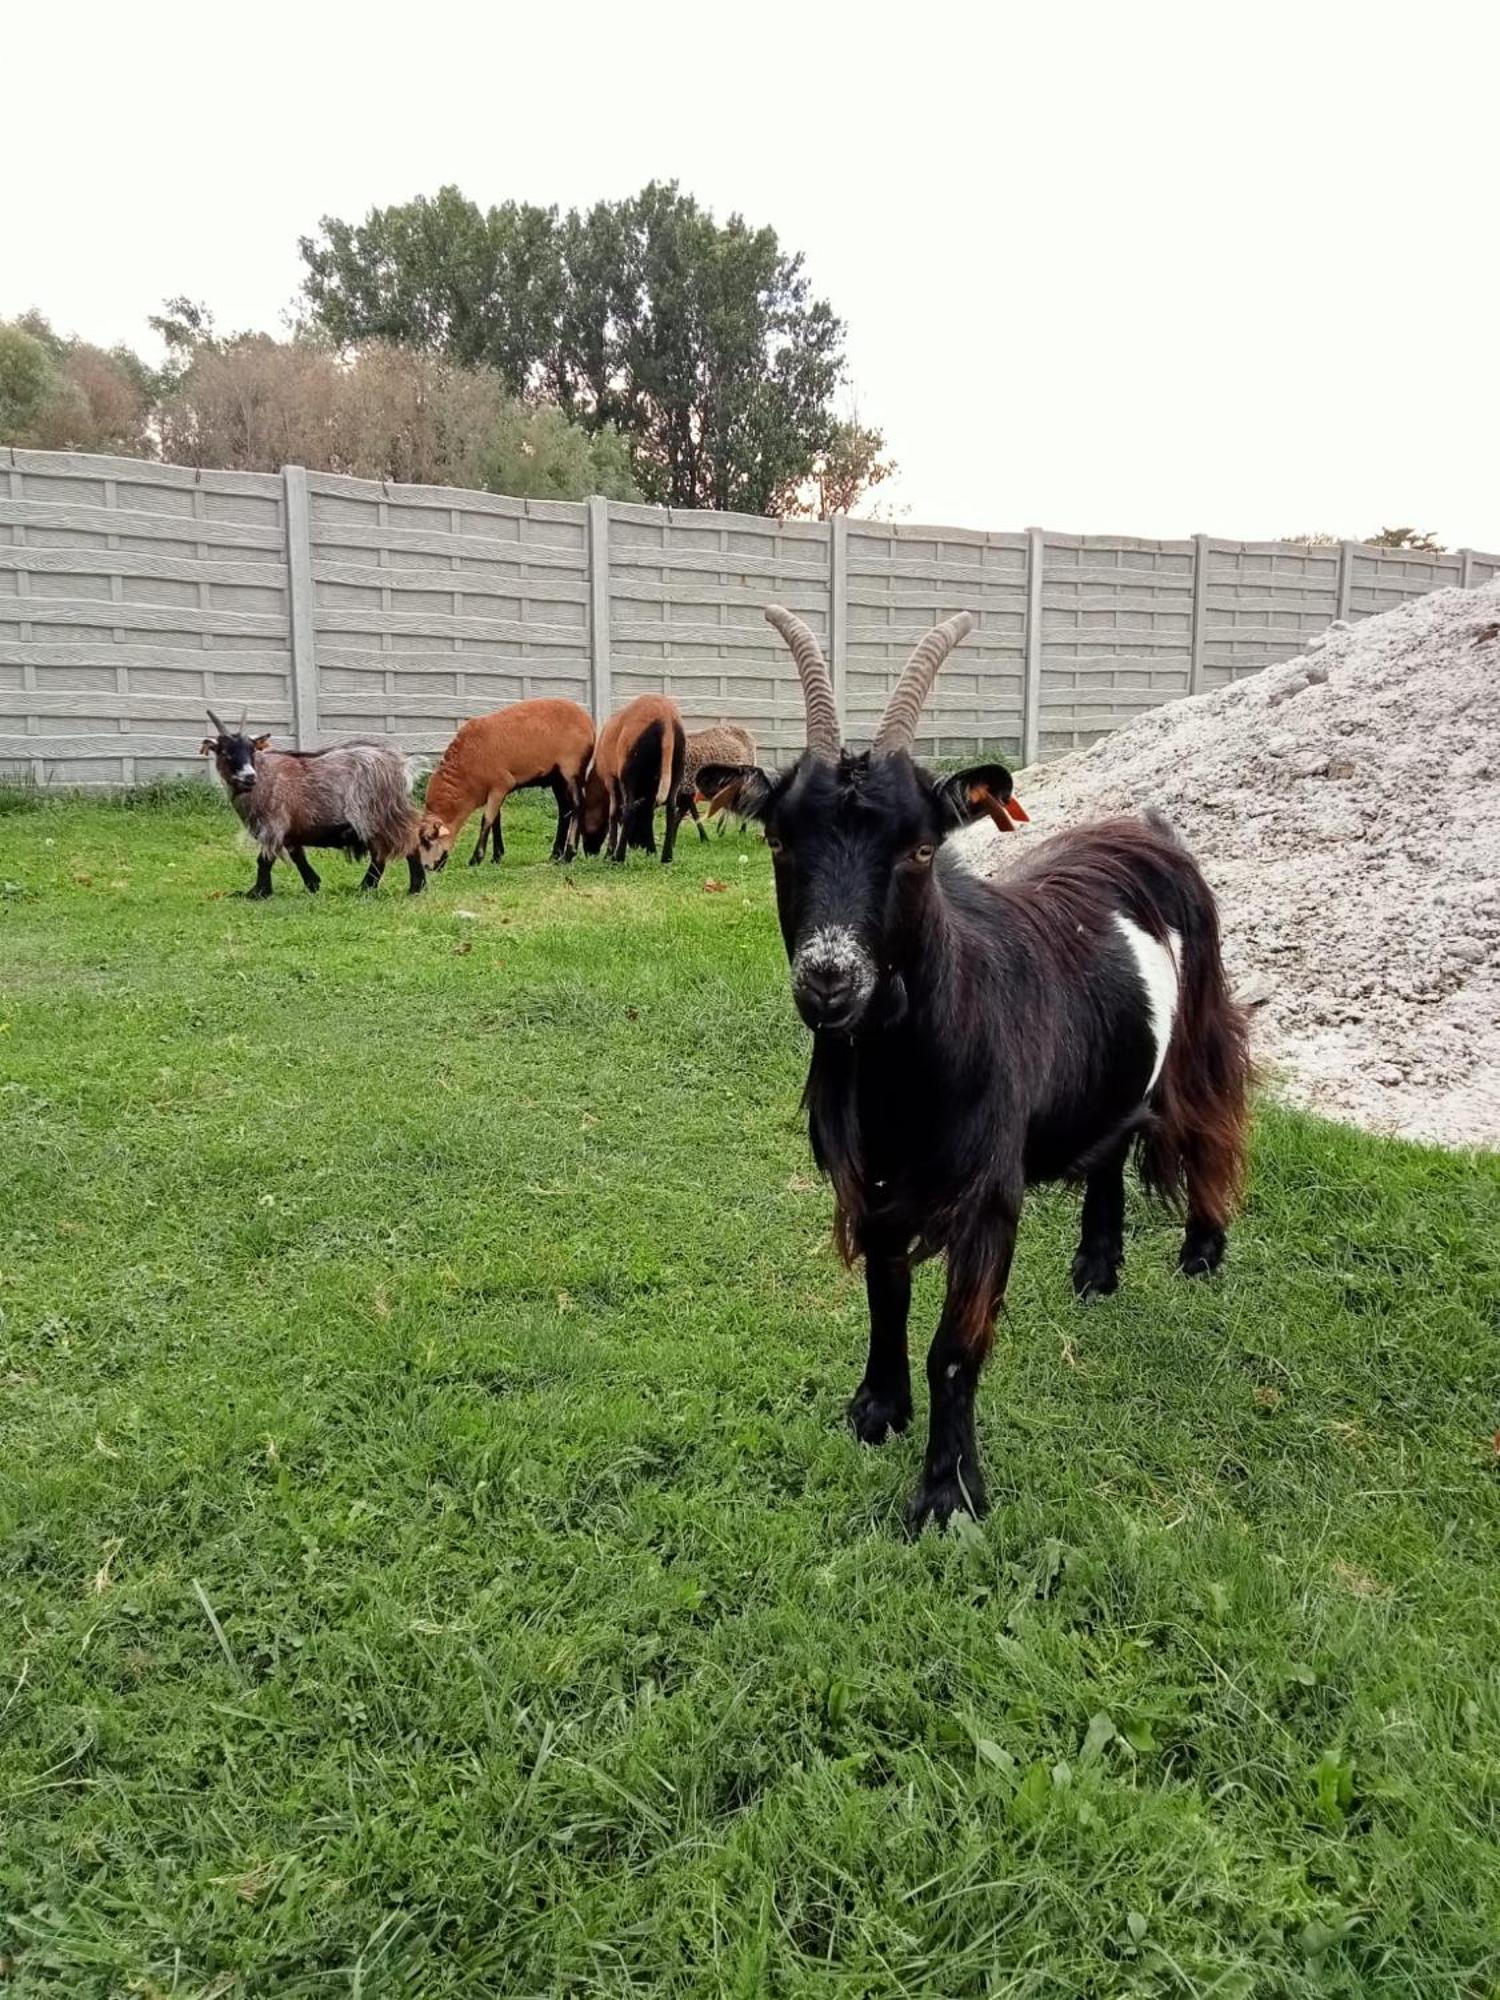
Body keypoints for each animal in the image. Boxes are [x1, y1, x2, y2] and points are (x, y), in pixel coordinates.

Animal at [418, 700, 600, 872]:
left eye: (428, 840)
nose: (427, 868)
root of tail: (589, 723)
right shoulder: (495, 791)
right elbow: (496, 820)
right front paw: (496, 856)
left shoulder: (501, 784)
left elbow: (487, 820)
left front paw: (476, 859)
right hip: (557, 778)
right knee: (564, 810)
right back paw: (555, 854)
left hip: (571, 768)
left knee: (577, 806)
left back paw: (568, 854)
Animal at [584, 692, 692, 864]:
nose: (589, 852)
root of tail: (665, 716)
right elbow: (648, 813)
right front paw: (651, 850)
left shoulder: (611, 780)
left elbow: (614, 814)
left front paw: (609, 853)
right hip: (677, 768)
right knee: (670, 808)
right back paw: (666, 856)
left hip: (629, 772)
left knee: (629, 809)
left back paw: (618, 857)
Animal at [704, 608, 1256, 1528]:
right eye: (779, 839)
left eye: (922, 849)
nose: (829, 980)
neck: (905, 1073)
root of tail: (1142, 832)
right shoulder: (876, 1178)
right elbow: (885, 1298)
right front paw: (876, 1411)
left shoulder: (989, 1191)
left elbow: (954, 1349)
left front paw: (947, 1494)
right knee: (1112, 1139)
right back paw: (1096, 1268)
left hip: (1202, 1026)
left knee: (1212, 1116)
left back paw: (1203, 1253)